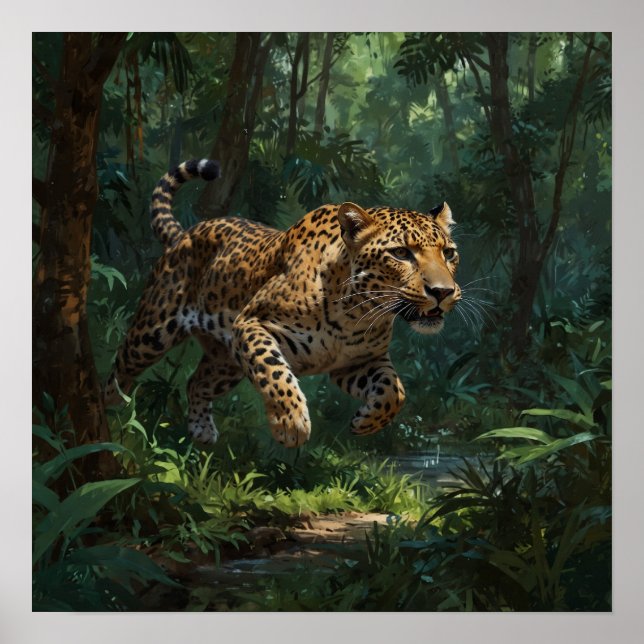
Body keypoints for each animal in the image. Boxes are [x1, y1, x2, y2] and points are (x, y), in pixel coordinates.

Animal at [104, 159, 462, 448]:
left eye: (449, 253)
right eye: (401, 253)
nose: (443, 291)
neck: (356, 312)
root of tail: (184, 233)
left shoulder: (358, 361)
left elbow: (394, 391)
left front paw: (366, 422)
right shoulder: (251, 324)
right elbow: (273, 371)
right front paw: (291, 424)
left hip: (225, 362)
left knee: (196, 382)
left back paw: (201, 431)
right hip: (153, 331)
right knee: (120, 366)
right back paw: (111, 420)